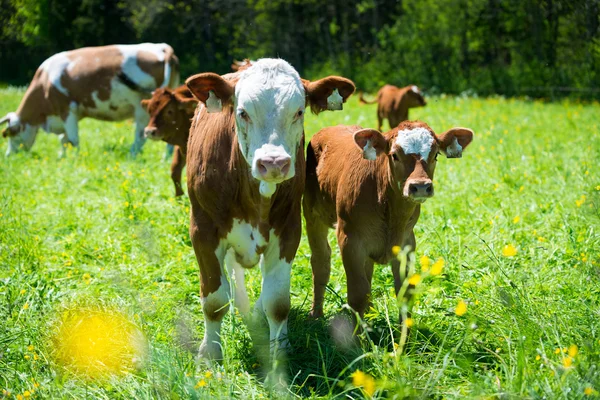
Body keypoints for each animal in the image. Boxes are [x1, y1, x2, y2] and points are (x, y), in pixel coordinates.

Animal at [0, 43, 179, 156]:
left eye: (11, 133)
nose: (9, 156)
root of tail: (163, 48)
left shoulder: (67, 109)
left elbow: (72, 140)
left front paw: (75, 160)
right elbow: (63, 140)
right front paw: (62, 158)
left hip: (142, 109)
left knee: (140, 137)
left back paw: (131, 156)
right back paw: (166, 158)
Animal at [186, 57, 356, 360]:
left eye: (298, 112)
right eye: (242, 112)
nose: (273, 163)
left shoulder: (288, 229)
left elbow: (277, 301)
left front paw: (280, 352)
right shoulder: (202, 229)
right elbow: (215, 300)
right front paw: (210, 353)